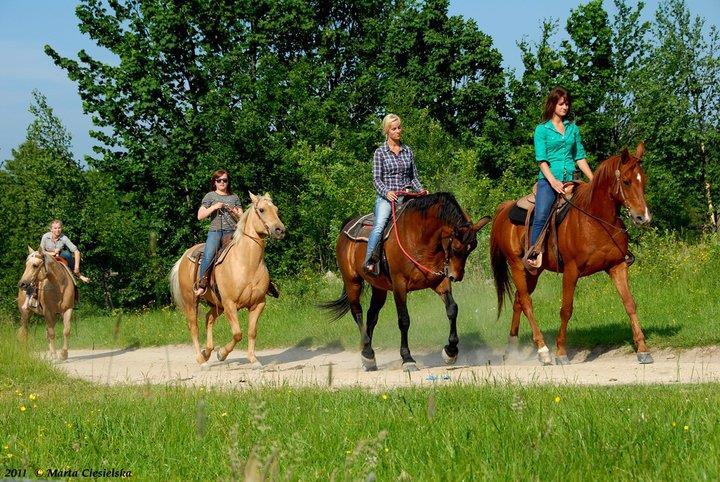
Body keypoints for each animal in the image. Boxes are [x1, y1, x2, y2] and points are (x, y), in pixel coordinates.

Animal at [170, 192, 286, 366]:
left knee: (209, 319)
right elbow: (238, 333)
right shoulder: (230, 304)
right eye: (262, 209)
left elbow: (252, 332)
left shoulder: (258, 303)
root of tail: (184, 256)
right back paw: (201, 359)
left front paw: (253, 359)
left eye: (276, 209)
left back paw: (207, 352)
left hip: (216, 303)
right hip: (191, 301)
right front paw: (222, 353)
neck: (247, 263)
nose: (280, 230)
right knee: (193, 326)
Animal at [324, 193, 492, 372]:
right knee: (358, 314)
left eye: (472, 247)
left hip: (379, 287)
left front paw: (450, 352)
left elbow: (452, 309)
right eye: (455, 247)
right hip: (352, 282)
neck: (419, 238)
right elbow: (404, 320)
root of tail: (347, 227)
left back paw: (368, 357)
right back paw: (367, 352)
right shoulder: (399, 285)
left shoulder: (440, 281)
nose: (456, 276)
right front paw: (407, 359)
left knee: (372, 315)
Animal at [490, 143, 652, 366]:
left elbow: (629, 303)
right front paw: (560, 352)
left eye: (643, 180)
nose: (643, 217)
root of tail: (505, 208)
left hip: (533, 270)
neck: (595, 220)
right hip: (516, 266)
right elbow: (566, 309)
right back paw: (543, 350)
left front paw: (643, 349)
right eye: (626, 181)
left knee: (518, 300)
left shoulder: (617, 266)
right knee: (526, 302)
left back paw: (511, 350)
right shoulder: (571, 270)